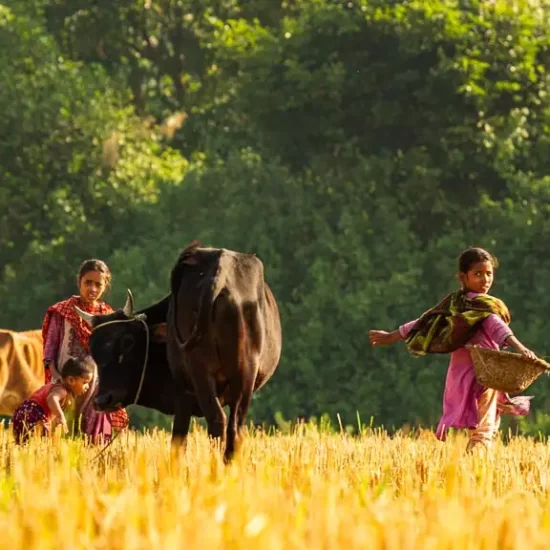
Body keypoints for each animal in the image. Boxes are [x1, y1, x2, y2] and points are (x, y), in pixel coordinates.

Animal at [76, 244, 284, 464]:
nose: (102, 400)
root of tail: (220, 272)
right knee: (230, 427)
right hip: (242, 375)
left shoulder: (182, 399)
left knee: (217, 422)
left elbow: (178, 443)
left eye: (127, 342)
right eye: (94, 351)